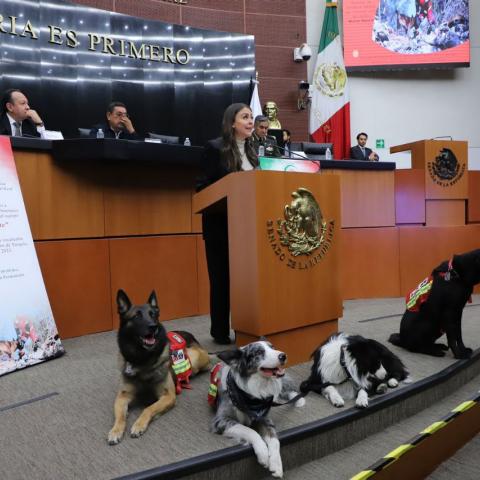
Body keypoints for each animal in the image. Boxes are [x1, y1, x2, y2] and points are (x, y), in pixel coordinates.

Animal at [109, 288, 210, 442]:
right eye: (137, 316)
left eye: (153, 315)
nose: (154, 327)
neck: (142, 359)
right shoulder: (122, 396)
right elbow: (120, 416)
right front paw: (115, 430)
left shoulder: (168, 396)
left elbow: (148, 408)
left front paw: (138, 425)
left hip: (194, 358)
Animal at [213, 340, 304, 478]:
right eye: (259, 352)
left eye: (273, 347)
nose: (283, 355)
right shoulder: (221, 420)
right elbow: (249, 430)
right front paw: (263, 454)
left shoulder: (264, 418)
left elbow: (275, 440)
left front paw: (276, 464)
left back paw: (298, 399)